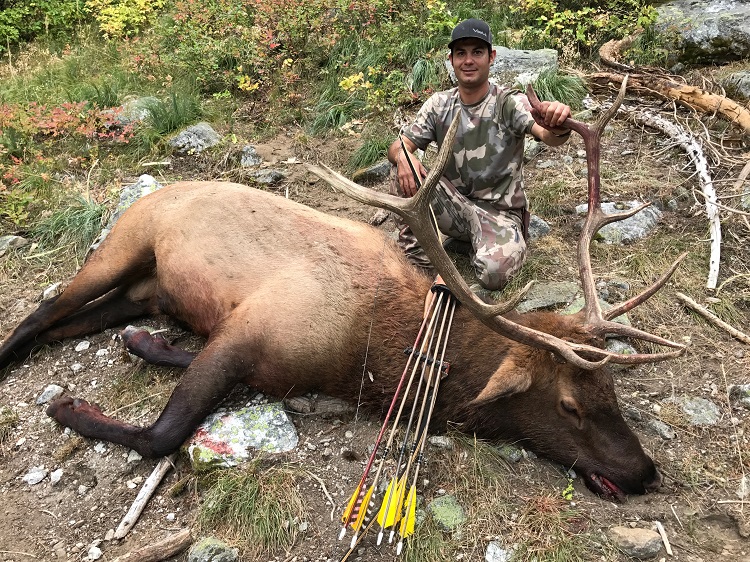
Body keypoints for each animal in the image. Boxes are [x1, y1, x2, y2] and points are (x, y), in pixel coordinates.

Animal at [0, 81, 684, 502]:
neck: (365, 356)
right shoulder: (250, 330)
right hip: (126, 239)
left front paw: (145, 348)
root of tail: (160, 189)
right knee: (43, 310)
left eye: (612, 389)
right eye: (569, 405)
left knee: (87, 318)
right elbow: (161, 434)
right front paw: (68, 410)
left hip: (148, 288)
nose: (645, 471)